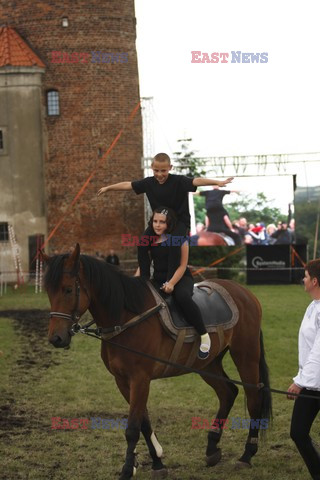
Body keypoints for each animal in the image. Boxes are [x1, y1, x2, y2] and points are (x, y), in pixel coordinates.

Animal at [40, 244, 272, 480]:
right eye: (49, 291)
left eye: (68, 289)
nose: (56, 338)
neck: (126, 318)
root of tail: (244, 293)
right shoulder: (122, 381)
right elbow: (144, 422)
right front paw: (157, 462)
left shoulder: (140, 379)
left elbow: (133, 428)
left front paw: (127, 469)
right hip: (207, 364)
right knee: (228, 393)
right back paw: (212, 448)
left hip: (246, 355)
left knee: (254, 398)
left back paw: (247, 454)